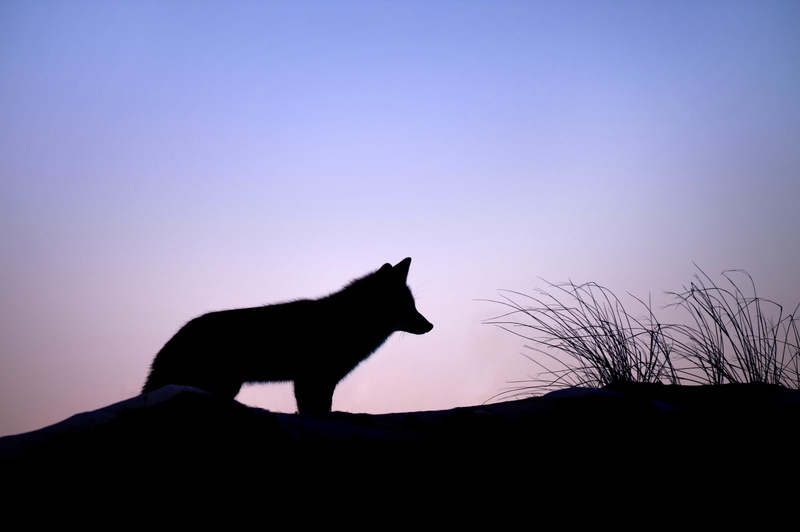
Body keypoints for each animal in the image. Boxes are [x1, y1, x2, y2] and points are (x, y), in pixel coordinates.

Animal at [142, 257, 433, 414]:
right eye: (406, 306)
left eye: (413, 305)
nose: (430, 326)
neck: (347, 321)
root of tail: (173, 339)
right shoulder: (310, 379)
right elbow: (314, 411)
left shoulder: (322, 381)